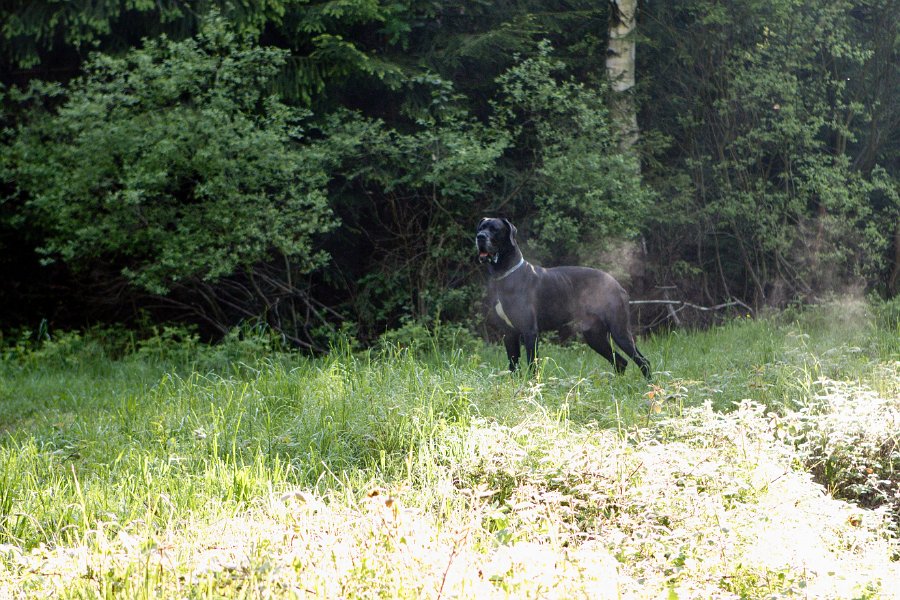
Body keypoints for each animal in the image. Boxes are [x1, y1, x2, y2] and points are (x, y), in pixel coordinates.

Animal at [474, 218, 652, 378]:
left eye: (495, 229)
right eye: (480, 228)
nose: (480, 237)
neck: (504, 273)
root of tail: (617, 284)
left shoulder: (529, 331)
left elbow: (532, 365)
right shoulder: (509, 333)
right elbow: (513, 367)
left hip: (619, 330)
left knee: (643, 361)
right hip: (594, 335)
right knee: (621, 362)